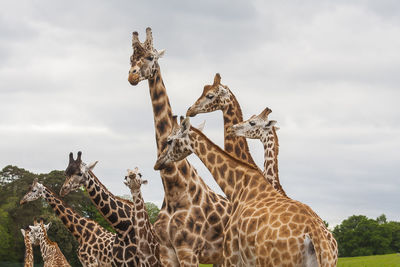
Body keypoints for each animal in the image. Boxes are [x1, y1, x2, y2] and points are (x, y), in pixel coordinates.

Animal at [128, 27, 231, 267]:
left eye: (151, 57)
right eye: (130, 59)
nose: (132, 76)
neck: (173, 188)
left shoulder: (188, 250)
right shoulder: (167, 252)